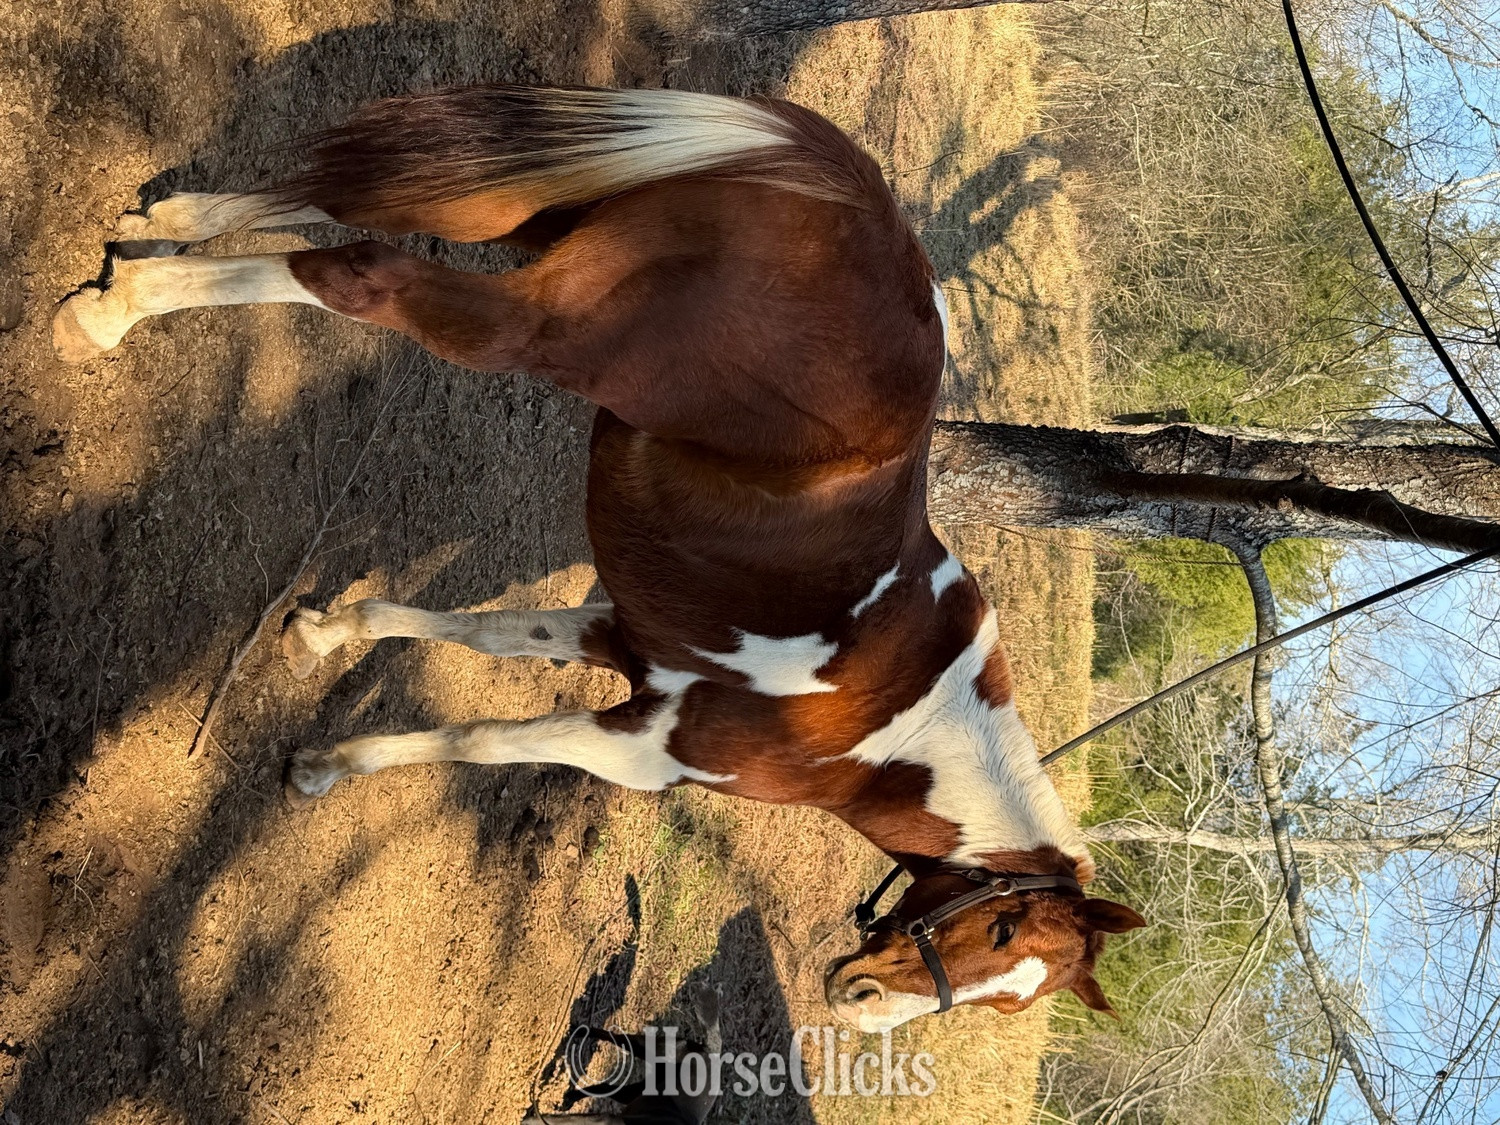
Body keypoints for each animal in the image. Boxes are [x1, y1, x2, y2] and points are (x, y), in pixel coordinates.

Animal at [54, 85, 1145, 1032]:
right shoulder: (643, 751)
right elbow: (485, 741)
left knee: (353, 199)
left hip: (536, 216)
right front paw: (331, 764)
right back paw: (111, 311)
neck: (908, 726)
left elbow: (485, 636)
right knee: (364, 273)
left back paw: (163, 221)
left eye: (1011, 999)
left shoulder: (627, 641)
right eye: (1000, 930)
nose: (859, 1002)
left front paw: (328, 634)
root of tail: (861, 200)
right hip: (539, 327)